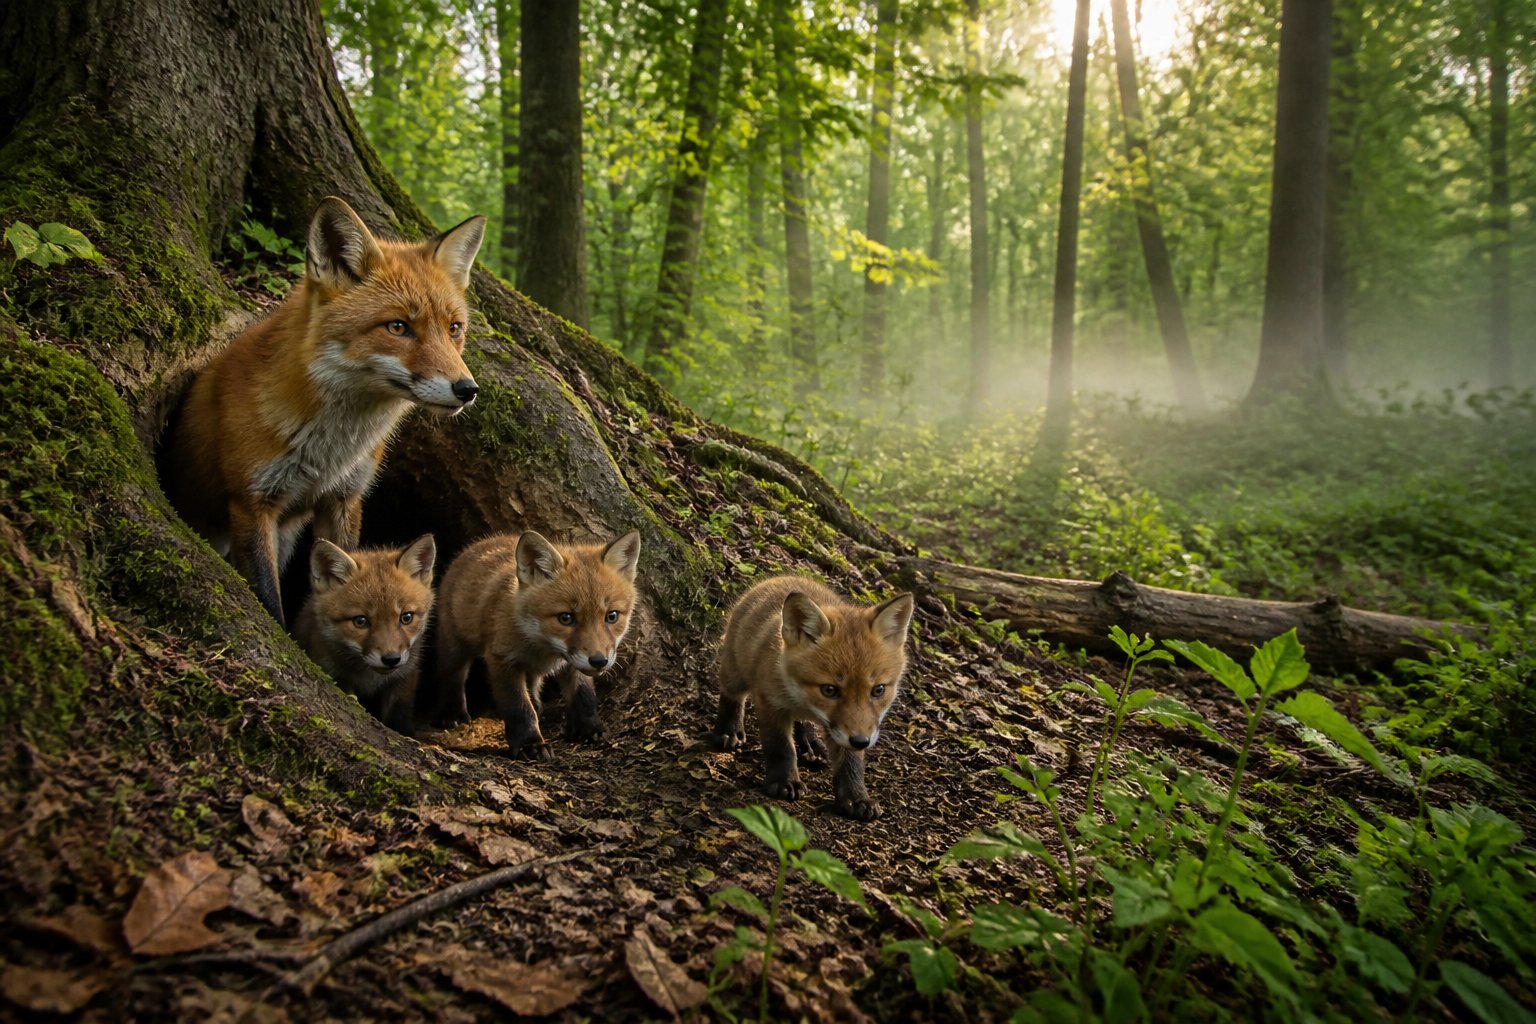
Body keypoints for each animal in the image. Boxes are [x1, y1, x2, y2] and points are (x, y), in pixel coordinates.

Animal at [162, 196, 485, 625]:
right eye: (398, 327)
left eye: (454, 329)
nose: (467, 390)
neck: (330, 450)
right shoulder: (251, 502)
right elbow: (267, 598)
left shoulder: (344, 498)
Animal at [293, 534, 437, 736]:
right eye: (360, 621)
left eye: (406, 617)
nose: (391, 659)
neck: (370, 678)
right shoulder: (335, 673)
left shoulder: (405, 674)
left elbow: (399, 712)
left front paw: (404, 734)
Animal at [434, 529, 642, 760]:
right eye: (566, 618)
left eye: (611, 616)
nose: (599, 661)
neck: (542, 647)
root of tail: (485, 541)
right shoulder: (502, 659)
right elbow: (518, 706)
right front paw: (529, 743)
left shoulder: (573, 664)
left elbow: (584, 696)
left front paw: (589, 728)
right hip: (455, 645)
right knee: (453, 676)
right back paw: (452, 713)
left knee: (533, 684)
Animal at [712, 576, 915, 822]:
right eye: (829, 690)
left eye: (878, 690)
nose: (861, 742)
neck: (803, 700)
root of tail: (782, 577)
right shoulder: (770, 702)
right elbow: (780, 746)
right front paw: (784, 781)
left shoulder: (853, 727)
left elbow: (851, 763)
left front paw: (856, 798)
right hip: (736, 672)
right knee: (731, 694)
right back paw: (729, 729)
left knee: (802, 723)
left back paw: (811, 743)